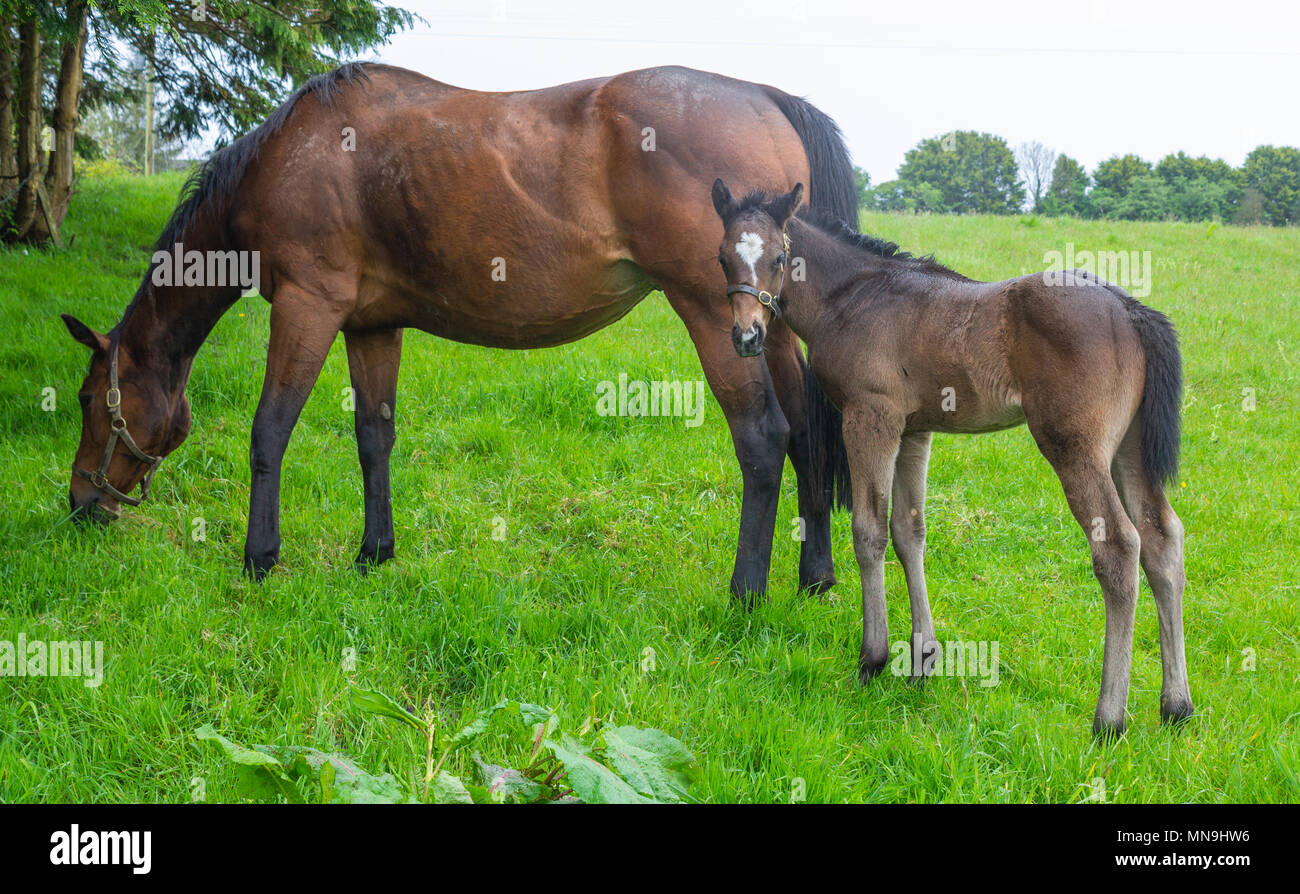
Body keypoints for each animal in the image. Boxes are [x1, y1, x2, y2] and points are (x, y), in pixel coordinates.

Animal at [61, 63, 858, 600]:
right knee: (808, 435)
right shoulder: (371, 326)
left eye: (87, 399)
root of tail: (766, 97)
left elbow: (270, 431)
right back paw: (814, 577)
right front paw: (374, 552)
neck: (297, 155)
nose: (79, 505)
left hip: (715, 317)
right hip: (768, 326)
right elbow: (373, 438)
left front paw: (260, 559)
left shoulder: (307, 307)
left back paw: (745, 593)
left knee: (763, 438)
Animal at [709, 180, 1192, 738]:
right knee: (1162, 539)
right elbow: (908, 532)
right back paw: (1176, 706)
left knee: (1118, 547)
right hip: (1130, 449)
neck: (854, 296)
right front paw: (922, 660)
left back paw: (1108, 719)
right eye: (723, 258)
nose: (747, 337)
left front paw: (872, 660)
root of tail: (1129, 307)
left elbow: (869, 531)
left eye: (778, 258)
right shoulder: (915, 430)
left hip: (1076, 448)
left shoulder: (870, 416)